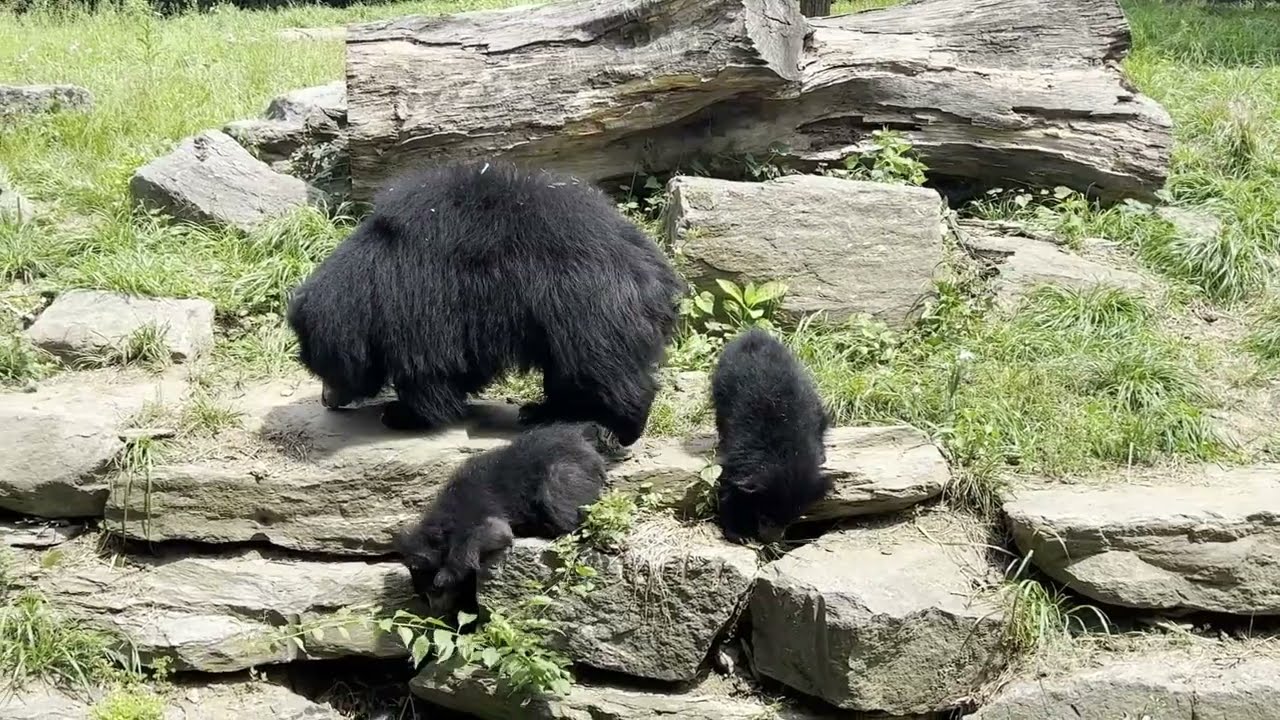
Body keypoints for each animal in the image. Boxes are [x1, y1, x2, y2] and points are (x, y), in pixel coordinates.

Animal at [285, 160, 685, 446]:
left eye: (322, 366)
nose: (327, 400)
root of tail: (657, 272)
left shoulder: (420, 298)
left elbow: (428, 366)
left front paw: (402, 415)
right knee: (567, 371)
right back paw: (541, 412)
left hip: (590, 309)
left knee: (605, 369)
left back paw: (618, 430)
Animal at [392, 422, 610, 616]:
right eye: (424, 595)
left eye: (434, 591)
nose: (436, 612)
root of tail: (585, 441)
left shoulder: (476, 509)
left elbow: (494, 531)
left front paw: (446, 575)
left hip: (564, 472)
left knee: (560, 503)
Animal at [711, 327, 832, 544]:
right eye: (764, 516)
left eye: (792, 519)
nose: (772, 539)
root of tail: (754, 334)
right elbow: (729, 487)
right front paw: (738, 534)